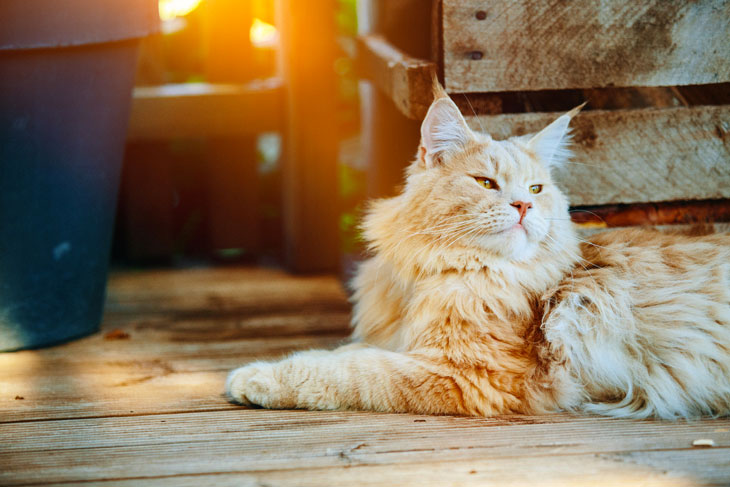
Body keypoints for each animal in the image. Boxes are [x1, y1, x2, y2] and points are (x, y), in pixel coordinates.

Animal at [226, 84, 728, 420]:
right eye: (486, 183)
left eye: (535, 189)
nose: (524, 205)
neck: (443, 272)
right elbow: (341, 353)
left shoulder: (464, 373)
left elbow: (349, 370)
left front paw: (255, 377)